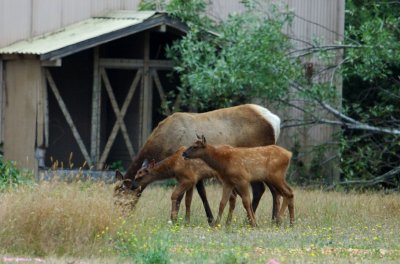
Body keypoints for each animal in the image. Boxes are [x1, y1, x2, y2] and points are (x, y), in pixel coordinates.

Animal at [115, 103, 282, 223]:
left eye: (121, 197)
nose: (118, 217)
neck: (163, 147)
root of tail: (276, 121)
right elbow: (201, 193)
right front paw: (209, 218)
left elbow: (185, 195)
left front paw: (175, 219)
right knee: (271, 190)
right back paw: (272, 219)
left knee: (261, 189)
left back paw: (252, 220)